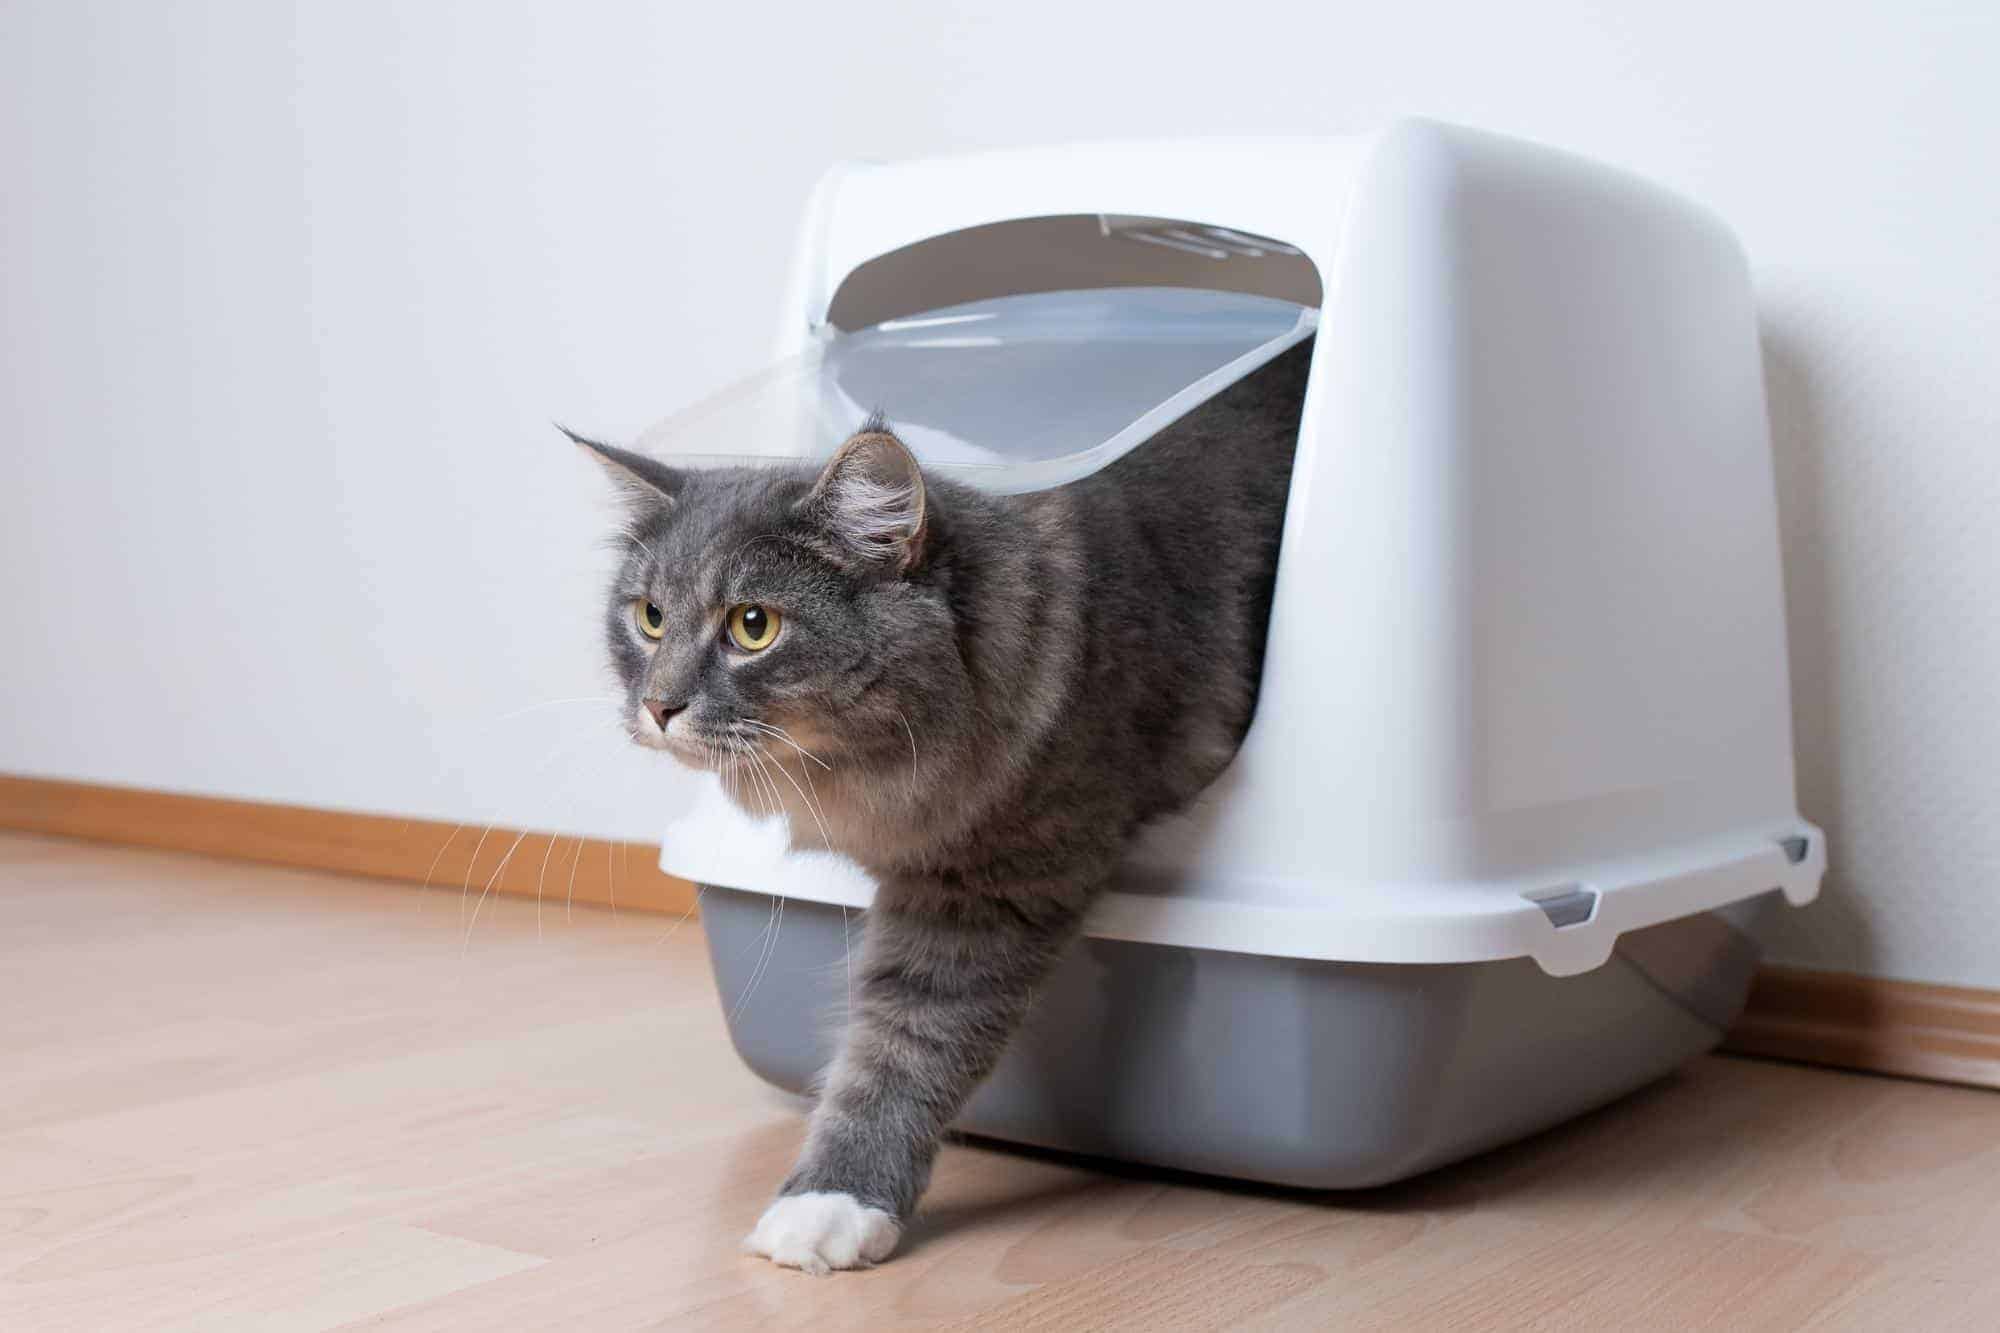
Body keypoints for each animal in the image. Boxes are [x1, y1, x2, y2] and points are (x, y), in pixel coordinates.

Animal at [576, 332, 1312, 1264]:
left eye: (753, 626)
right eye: (649, 616)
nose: (659, 706)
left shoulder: (987, 887)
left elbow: (901, 1048)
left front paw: (831, 1203)